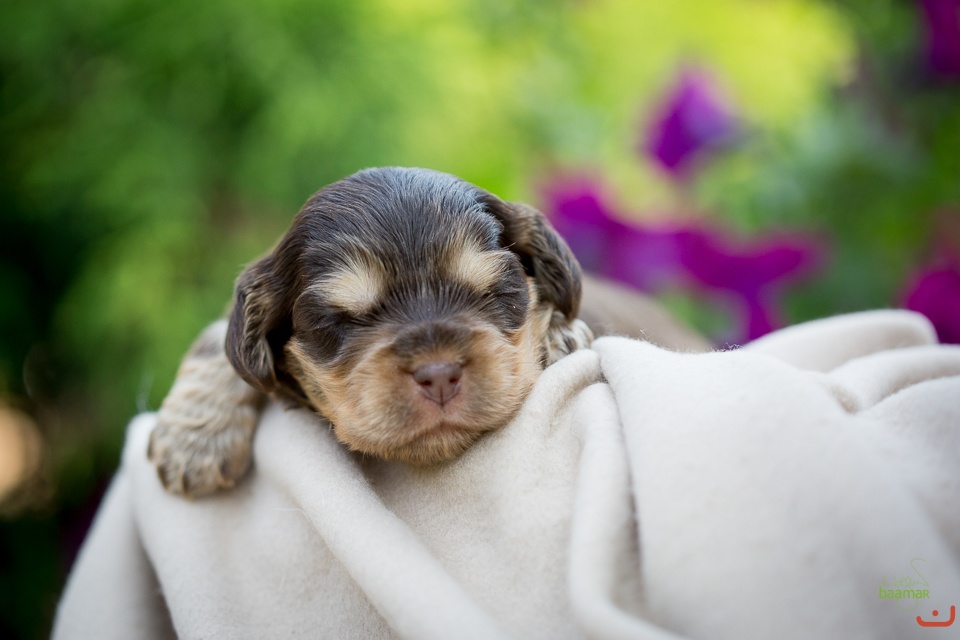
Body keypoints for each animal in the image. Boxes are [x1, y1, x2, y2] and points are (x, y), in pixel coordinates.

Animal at [147, 167, 594, 498]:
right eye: (342, 321)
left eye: (491, 292)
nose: (439, 376)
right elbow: (218, 341)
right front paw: (195, 441)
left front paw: (560, 336)